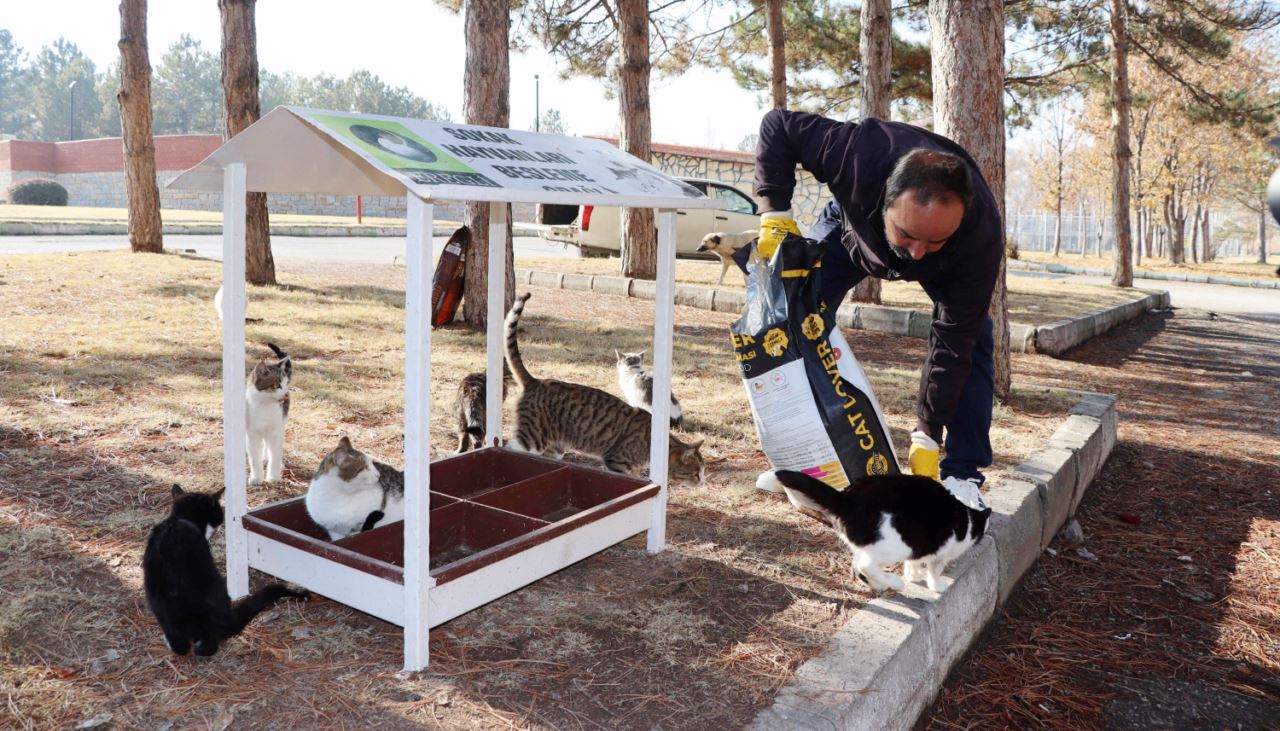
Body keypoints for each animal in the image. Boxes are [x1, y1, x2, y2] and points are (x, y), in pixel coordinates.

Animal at [141, 486, 308, 655]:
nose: (221, 519)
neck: (180, 519)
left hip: (157, 600)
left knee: (180, 644)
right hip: (215, 586)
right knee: (208, 647)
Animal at [247, 343, 293, 486]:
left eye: (285, 384)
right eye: (277, 385)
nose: (286, 394)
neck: (264, 406)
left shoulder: (276, 431)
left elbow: (275, 455)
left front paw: (273, 477)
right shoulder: (252, 434)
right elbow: (254, 458)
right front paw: (256, 477)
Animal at [499, 291, 706, 486]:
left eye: (702, 472)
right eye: (696, 473)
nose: (703, 481)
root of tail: (535, 381)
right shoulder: (617, 462)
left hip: (555, 448)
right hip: (532, 438)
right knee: (510, 450)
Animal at [768, 468, 988, 594]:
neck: (966, 519)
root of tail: (846, 499)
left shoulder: (920, 547)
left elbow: (913, 563)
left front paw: (913, 576)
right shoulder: (938, 554)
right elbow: (934, 572)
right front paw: (936, 586)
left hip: (870, 545)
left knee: (857, 565)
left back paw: (880, 585)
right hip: (895, 545)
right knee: (865, 565)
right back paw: (895, 583)